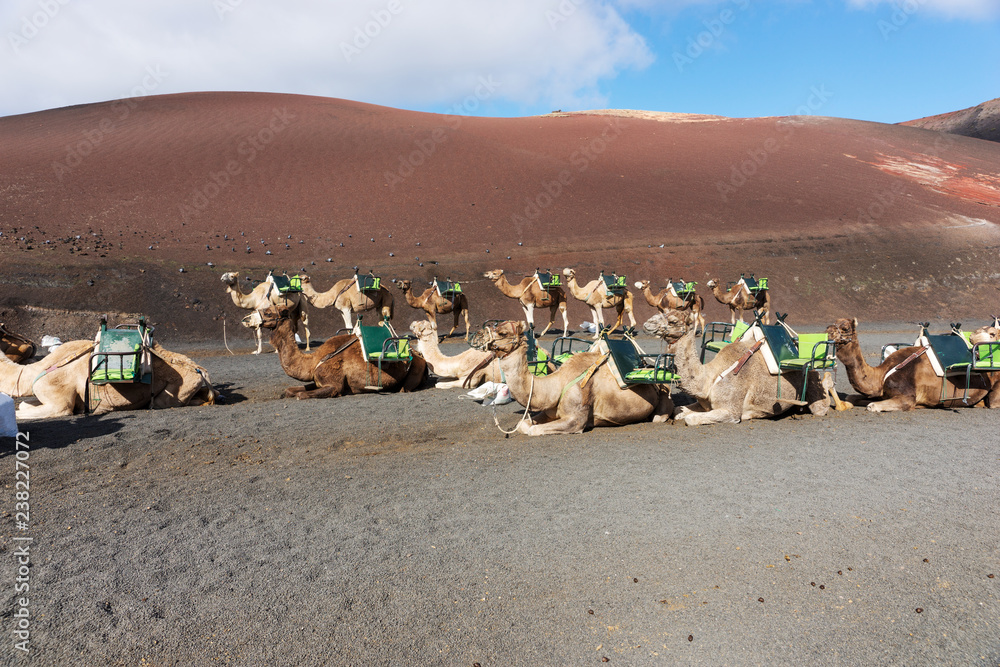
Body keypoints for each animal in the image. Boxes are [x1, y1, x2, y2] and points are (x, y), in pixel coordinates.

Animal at [258, 307, 426, 399]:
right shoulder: (318, 380)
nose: (251, 319)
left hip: (415, 369)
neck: (314, 361)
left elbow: (302, 395)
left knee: (405, 388)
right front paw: (284, 393)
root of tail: (418, 356)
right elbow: (290, 390)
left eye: (268, 313)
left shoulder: (334, 385)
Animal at [473, 320, 673, 435]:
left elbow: (533, 430)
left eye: (503, 333)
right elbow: (524, 424)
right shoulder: (550, 411)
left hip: (664, 395)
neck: (557, 384)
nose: (476, 336)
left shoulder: (575, 420)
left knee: (659, 415)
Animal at [643, 309, 830, 425]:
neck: (709, 378)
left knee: (820, 408)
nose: (647, 324)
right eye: (664, 310)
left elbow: (691, 419)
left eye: (673, 321)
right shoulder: (706, 404)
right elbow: (677, 411)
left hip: (813, 383)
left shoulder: (731, 412)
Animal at [826, 318, 1000, 412]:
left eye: (845, 327)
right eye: (832, 323)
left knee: (992, 403)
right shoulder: (881, 392)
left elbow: (872, 406)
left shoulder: (907, 397)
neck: (882, 374)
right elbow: (852, 397)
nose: (828, 330)